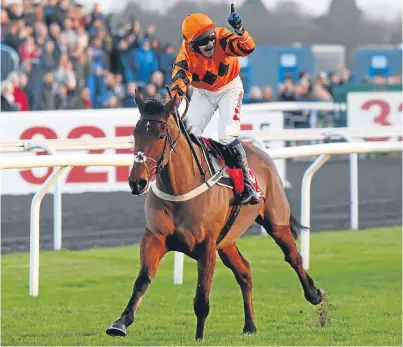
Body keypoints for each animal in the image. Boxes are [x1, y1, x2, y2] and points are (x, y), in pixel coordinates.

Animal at [105, 91, 326, 342]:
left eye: (160, 135)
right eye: (135, 134)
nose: (137, 181)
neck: (179, 189)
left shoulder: (206, 245)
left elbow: (202, 297)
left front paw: (199, 337)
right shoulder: (155, 238)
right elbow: (142, 280)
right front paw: (120, 323)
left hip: (276, 221)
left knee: (293, 256)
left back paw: (314, 294)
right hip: (227, 242)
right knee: (244, 272)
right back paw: (250, 325)